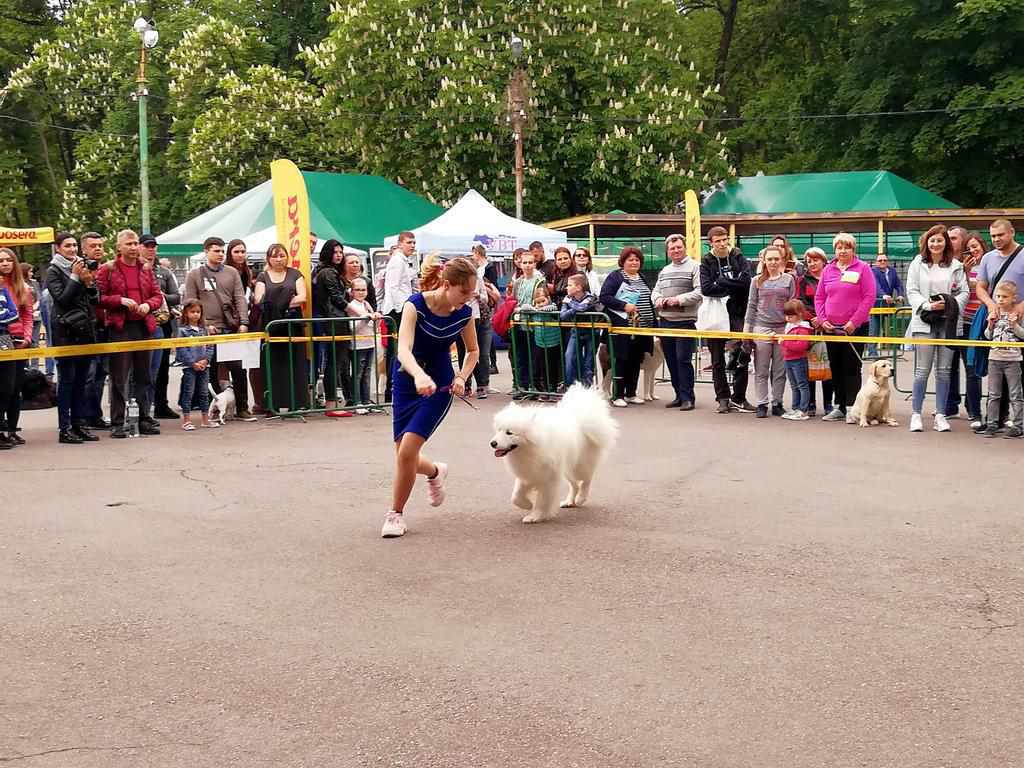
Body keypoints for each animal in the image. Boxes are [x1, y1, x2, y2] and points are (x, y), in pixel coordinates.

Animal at [491, 385, 618, 524]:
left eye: (509, 433)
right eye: (498, 430)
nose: (492, 443)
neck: (531, 448)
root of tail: (580, 418)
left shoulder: (548, 479)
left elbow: (542, 501)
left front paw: (535, 516)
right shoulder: (529, 474)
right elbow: (515, 496)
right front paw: (528, 505)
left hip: (579, 465)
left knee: (586, 479)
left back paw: (580, 498)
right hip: (566, 469)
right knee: (574, 485)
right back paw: (569, 502)